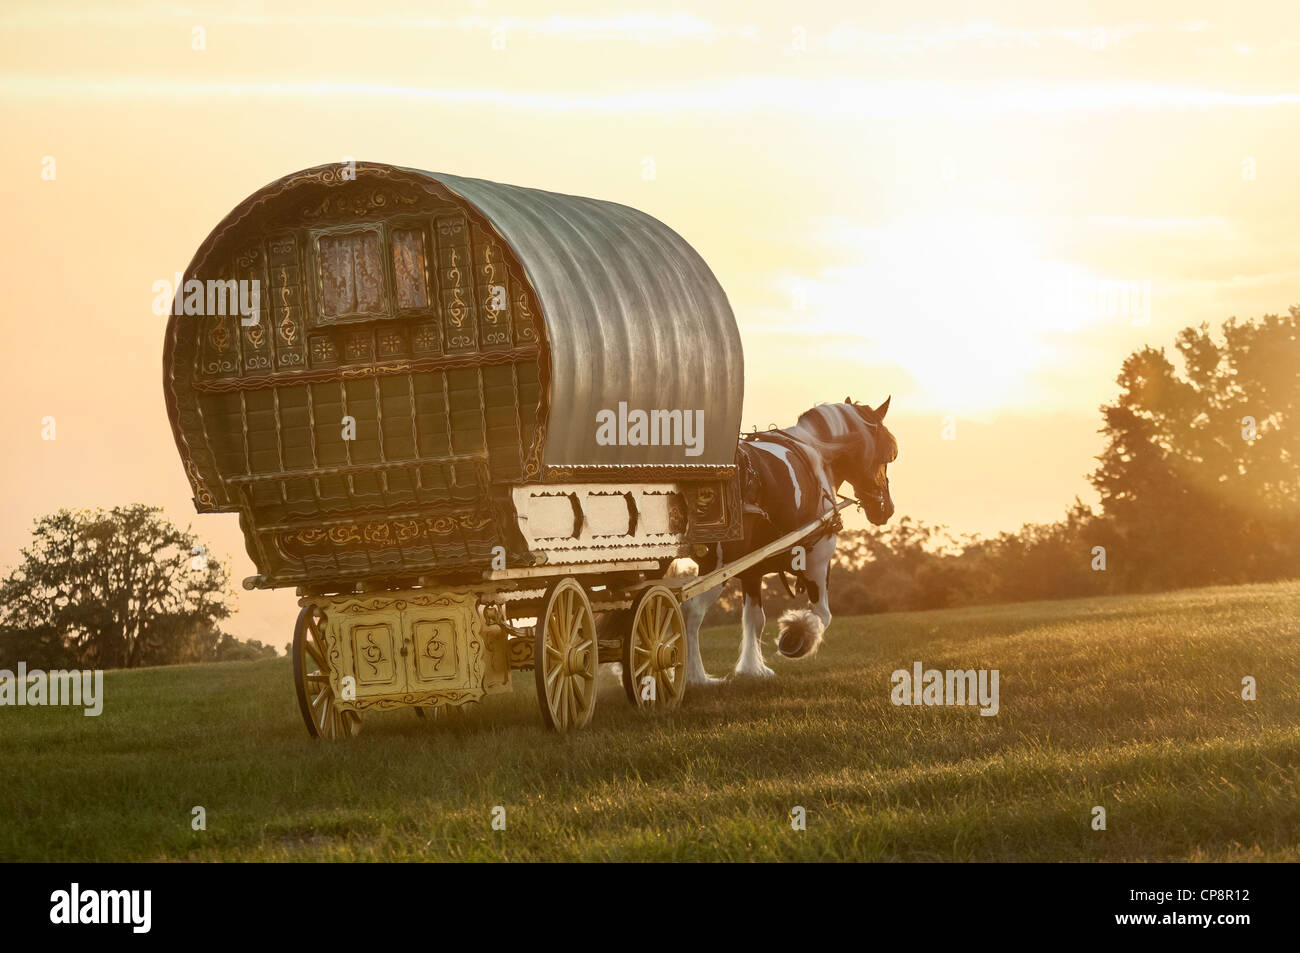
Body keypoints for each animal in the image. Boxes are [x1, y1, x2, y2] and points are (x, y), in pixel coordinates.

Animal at [681, 395, 904, 686]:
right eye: (887, 454)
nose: (885, 509)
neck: (818, 454)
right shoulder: (818, 559)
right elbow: (822, 614)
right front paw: (796, 636)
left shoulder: (752, 570)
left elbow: (755, 618)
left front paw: (753, 669)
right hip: (718, 563)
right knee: (691, 610)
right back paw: (695, 677)